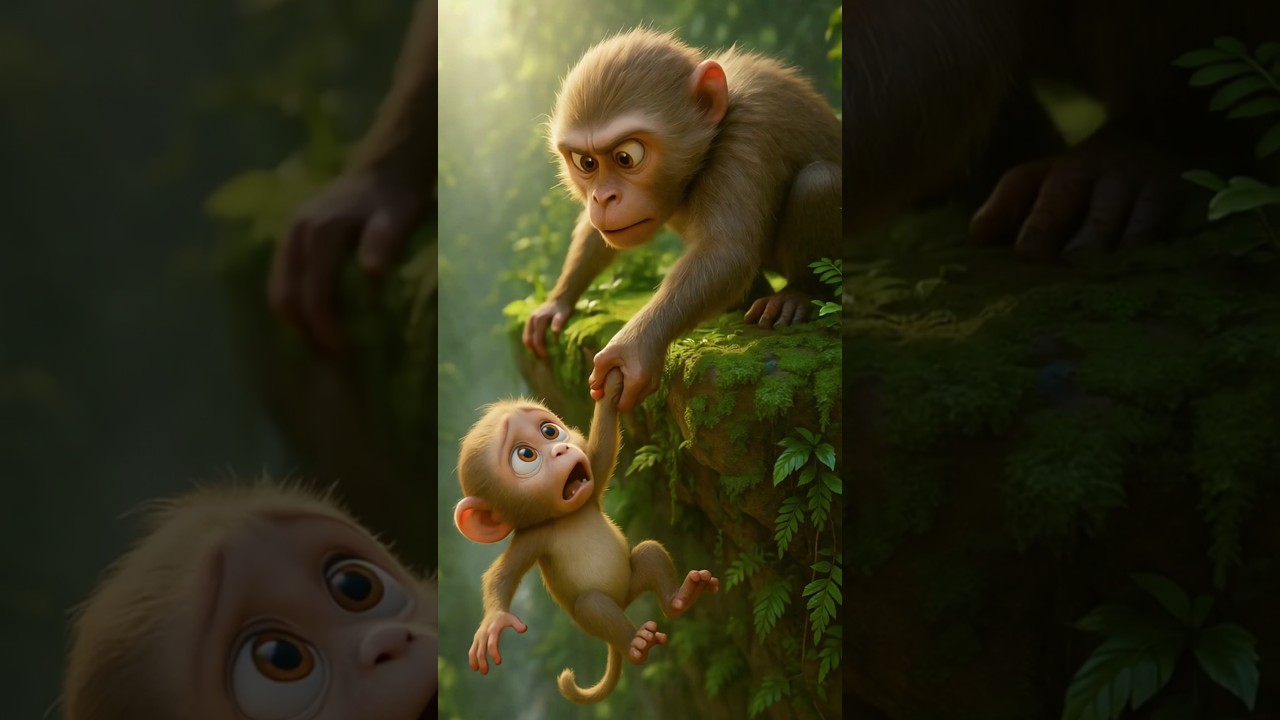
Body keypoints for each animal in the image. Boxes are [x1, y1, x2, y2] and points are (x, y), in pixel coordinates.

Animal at [453, 367, 720, 704]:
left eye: (550, 431)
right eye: (525, 454)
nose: (560, 449)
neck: (568, 515)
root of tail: (623, 604)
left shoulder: (590, 493)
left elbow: (602, 451)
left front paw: (613, 383)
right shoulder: (533, 536)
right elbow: (502, 574)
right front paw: (494, 622)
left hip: (631, 581)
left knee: (649, 553)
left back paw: (680, 599)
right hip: (591, 613)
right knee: (593, 605)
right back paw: (636, 645)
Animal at [521, 28, 842, 413]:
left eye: (626, 157)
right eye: (587, 163)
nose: (603, 198)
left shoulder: (749, 136)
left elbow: (725, 253)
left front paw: (634, 349)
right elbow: (597, 231)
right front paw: (557, 302)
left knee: (820, 182)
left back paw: (797, 295)